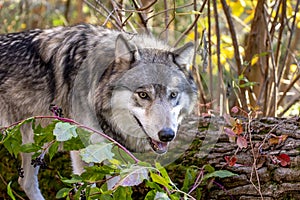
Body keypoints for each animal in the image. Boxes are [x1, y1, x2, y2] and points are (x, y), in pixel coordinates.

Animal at [0, 24, 197, 199]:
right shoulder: (82, 153)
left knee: (25, 182)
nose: (167, 135)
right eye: (143, 94)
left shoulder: (114, 156)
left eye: (173, 95)